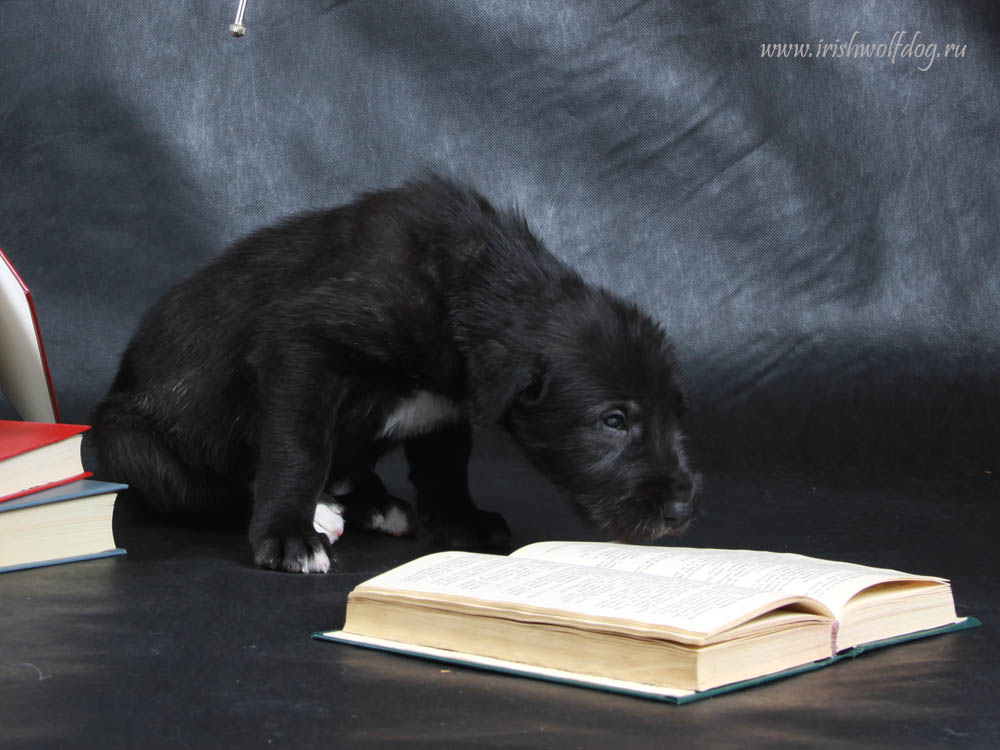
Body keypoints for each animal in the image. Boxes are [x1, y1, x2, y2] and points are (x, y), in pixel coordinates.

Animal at [94, 178, 700, 576]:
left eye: (677, 417)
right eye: (614, 421)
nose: (680, 511)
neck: (472, 281)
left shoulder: (450, 408)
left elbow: (447, 470)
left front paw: (462, 523)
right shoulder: (301, 346)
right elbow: (299, 448)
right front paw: (287, 535)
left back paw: (370, 504)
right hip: (127, 443)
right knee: (203, 493)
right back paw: (321, 514)